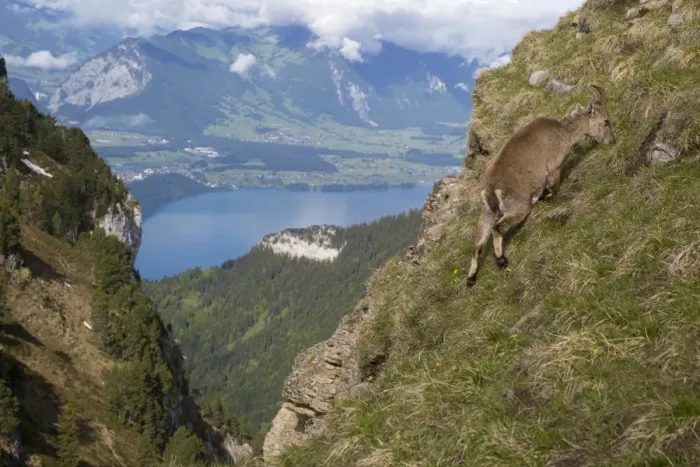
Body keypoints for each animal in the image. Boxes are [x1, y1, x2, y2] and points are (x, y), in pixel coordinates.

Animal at [464, 84, 615, 287]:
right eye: (606, 121)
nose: (612, 141)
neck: (563, 132)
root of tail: (490, 190)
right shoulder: (553, 167)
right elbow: (554, 187)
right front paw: (548, 198)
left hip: (486, 213)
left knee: (478, 244)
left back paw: (471, 279)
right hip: (519, 207)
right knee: (497, 228)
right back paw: (501, 260)